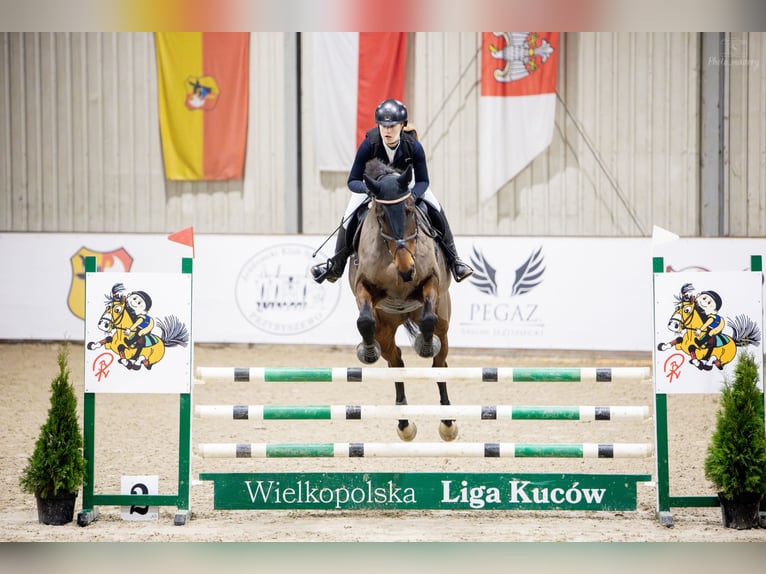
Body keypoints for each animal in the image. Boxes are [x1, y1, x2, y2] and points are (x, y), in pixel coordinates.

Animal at [352, 161, 460, 446]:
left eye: (410, 209)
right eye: (380, 214)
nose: (406, 270)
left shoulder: (430, 281)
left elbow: (428, 319)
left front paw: (424, 345)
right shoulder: (363, 287)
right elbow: (364, 320)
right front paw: (367, 351)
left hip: (444, 324)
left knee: (439, 364)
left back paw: (447, 423)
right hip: (386, 328)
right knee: (396, 363)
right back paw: (404, 423)